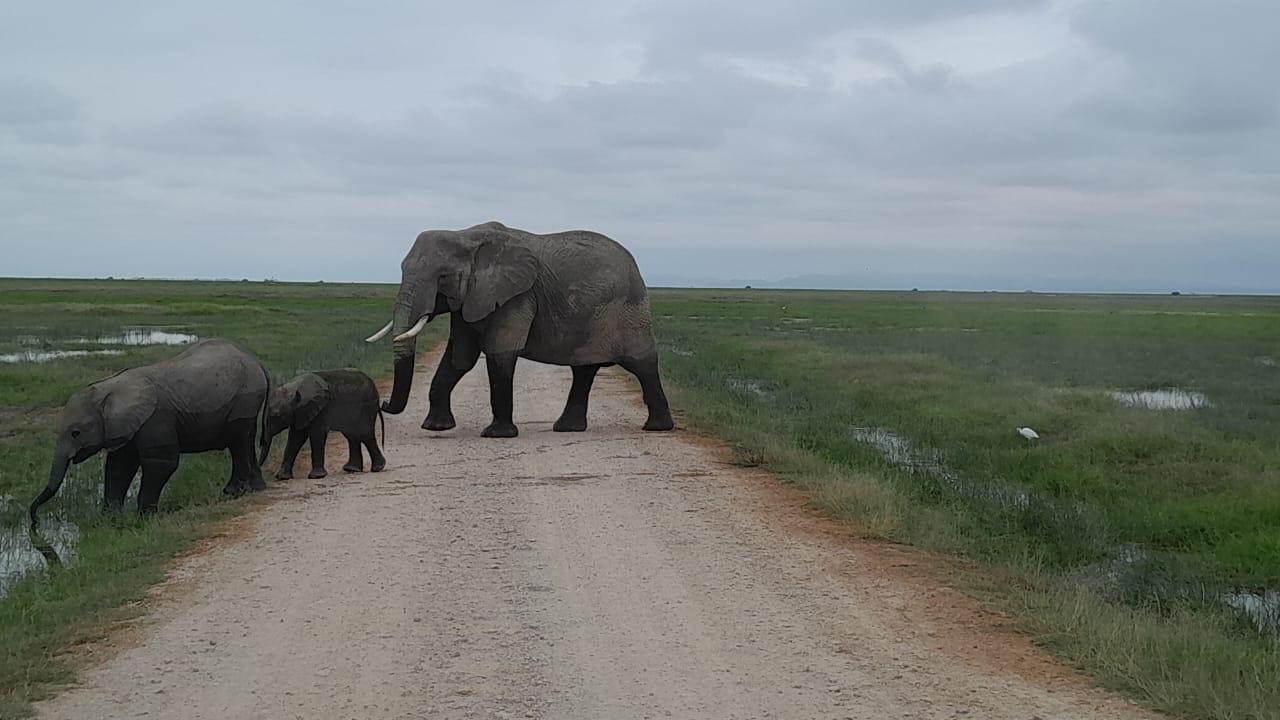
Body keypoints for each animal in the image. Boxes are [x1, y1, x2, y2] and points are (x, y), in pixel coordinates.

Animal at [30, 335, 270, 520]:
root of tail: (258, 363)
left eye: (75, 433)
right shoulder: (126, 426)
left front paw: (144, 517)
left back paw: (233, 493)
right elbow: (119, 466)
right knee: (245, 440)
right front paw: (110, 519)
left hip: (245, 398)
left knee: (238, 441)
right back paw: (255, 489)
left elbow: (162, 463)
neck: (109, 388)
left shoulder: (155, 420)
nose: (34, 521)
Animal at [256, 366, 384, 479]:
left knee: (365, 433)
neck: (295, 387)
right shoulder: (300, 413)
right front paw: (282, 477)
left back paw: (377, 468)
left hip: (368, 404)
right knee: (351, 435)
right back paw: (352, 469)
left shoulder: (322, 408)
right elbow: (295, 439)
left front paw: (316, 477)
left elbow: (317, 435)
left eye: (277, 416)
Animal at [366, 219, 675, 435]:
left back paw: (657, 428)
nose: (383, 404)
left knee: (642, 364)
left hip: (629, 311)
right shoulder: (473, 298)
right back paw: (566, 428)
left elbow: (500, 353)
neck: (466, 235)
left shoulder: (518, 295)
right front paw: (435, 428)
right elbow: (460, 357)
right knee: (583, 370)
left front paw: (496, 435)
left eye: (443, 276)